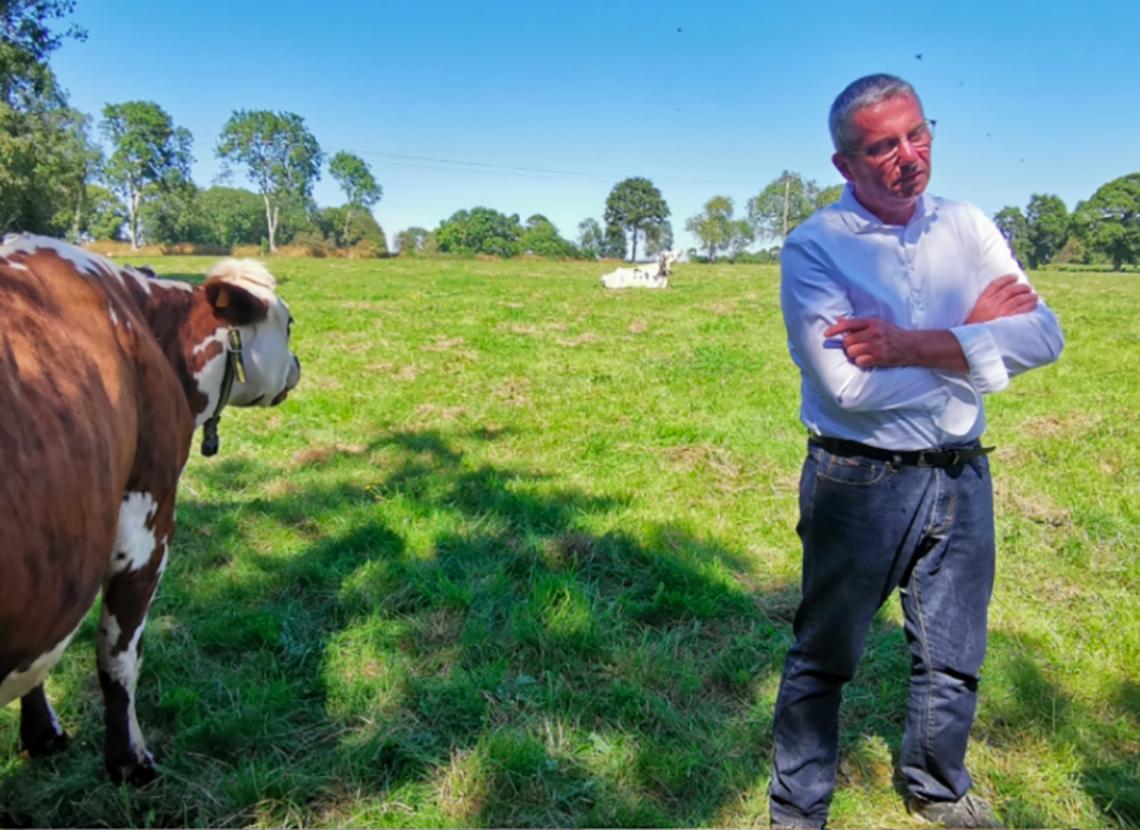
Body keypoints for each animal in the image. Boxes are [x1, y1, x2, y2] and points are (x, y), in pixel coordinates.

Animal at [0, 234, 300, 784]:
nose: (299, 366)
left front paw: (43, 735)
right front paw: (130, 761)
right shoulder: (146, 526)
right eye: (288, 324)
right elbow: (118, 655)